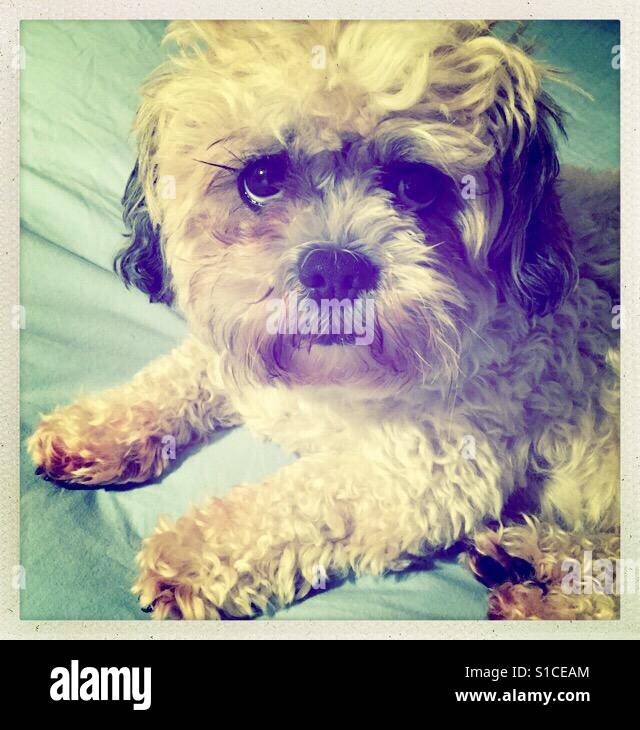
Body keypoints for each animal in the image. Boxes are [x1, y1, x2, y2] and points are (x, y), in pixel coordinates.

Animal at [27, 19, 616, 616]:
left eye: (416, 186)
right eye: (261, 178)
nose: (335, 269)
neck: (331, 381)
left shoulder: (425, 472)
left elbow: (292, 502)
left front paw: (190, 554)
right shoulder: (232, 347)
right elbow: (176, 376)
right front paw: (96, 430)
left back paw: (542, 582)